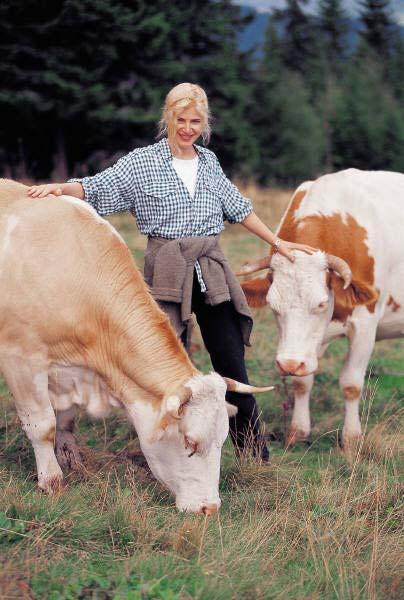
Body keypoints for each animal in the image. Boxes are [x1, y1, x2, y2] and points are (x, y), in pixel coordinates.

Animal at [238, 171, 404, 448]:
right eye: (273, 305)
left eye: (321, 303)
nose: (288, 363)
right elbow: (302, 381)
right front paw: (298, 430)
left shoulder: (365, 324)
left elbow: (351, 383)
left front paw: (351, 437)